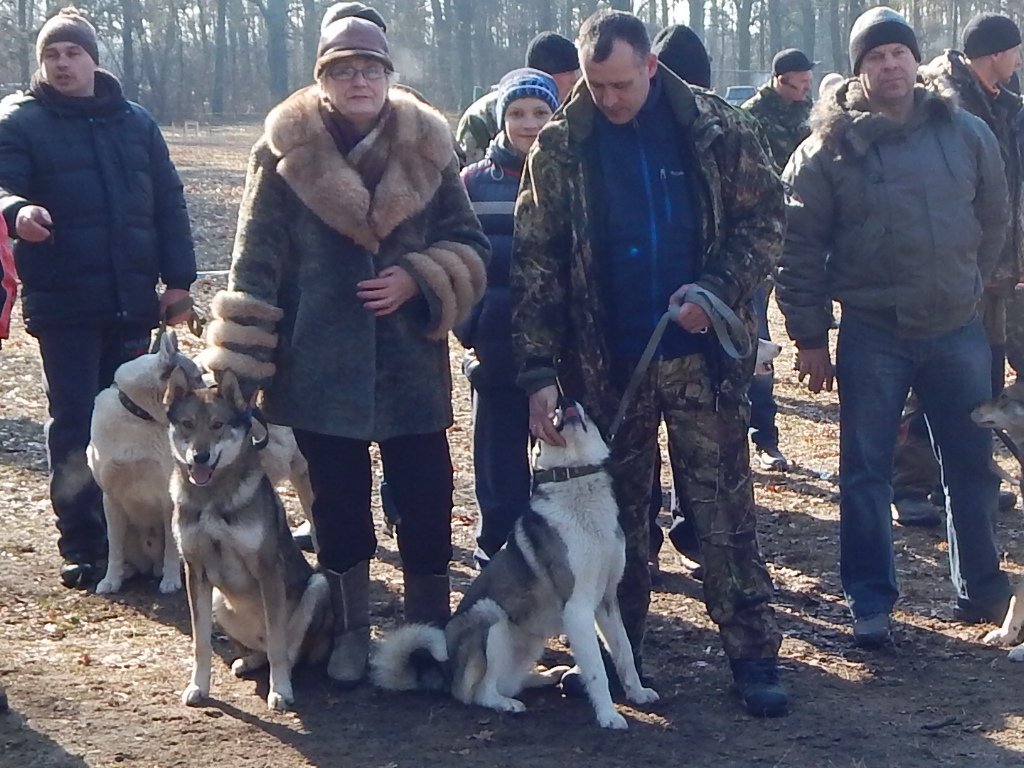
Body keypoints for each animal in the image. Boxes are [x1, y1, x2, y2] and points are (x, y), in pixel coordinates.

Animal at [88, 332, 315, 595]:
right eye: (197, 377)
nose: (223, 400)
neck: (138, 417)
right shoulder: (111, 498)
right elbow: (115, 548)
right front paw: (111, 580)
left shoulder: (168, 499)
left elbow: (171, 548)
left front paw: (170, 580)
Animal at [165, 368, 331, 711]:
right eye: (187, 424)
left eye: (217, 425)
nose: (200, 457)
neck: (212, 500)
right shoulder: (196, 572)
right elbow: (201, 644)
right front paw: (198, 687)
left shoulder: (267, 570)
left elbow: (279, 645)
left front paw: (280, 691)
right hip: (219, 600)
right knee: (262, 651)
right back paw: (247, 661)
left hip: (318, 587)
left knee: (287, 652)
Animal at [371, 400, 659, 729]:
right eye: (552, 415)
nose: (565, 401)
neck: (574, 481)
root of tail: (443, 675)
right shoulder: (578, 609)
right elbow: (597, 671)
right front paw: (609, 716)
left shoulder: (607, 601)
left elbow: (624, 653)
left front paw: (637, 693)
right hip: (489, 614)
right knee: (477, 692)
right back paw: (507, 704)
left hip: (530, 642)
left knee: (508, 682)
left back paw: (548, 675)